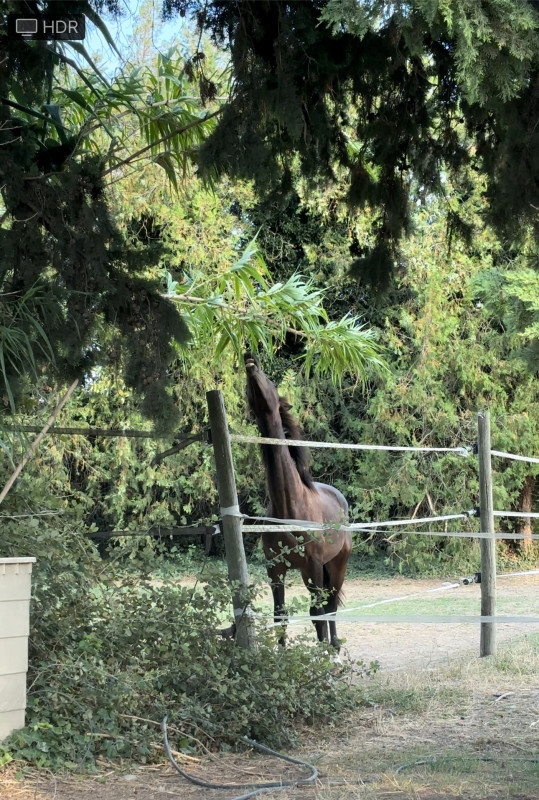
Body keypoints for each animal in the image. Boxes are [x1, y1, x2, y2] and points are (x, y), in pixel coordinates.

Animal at [245, 353, 351, 649]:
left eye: (270, 381)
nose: (250, 359)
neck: (289, 506)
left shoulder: (314, 564)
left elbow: (317, 613)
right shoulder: (276, 569)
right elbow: (279, 615)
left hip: (336, 565)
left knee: (330, 604)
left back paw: (334, 645)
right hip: (309, 572)